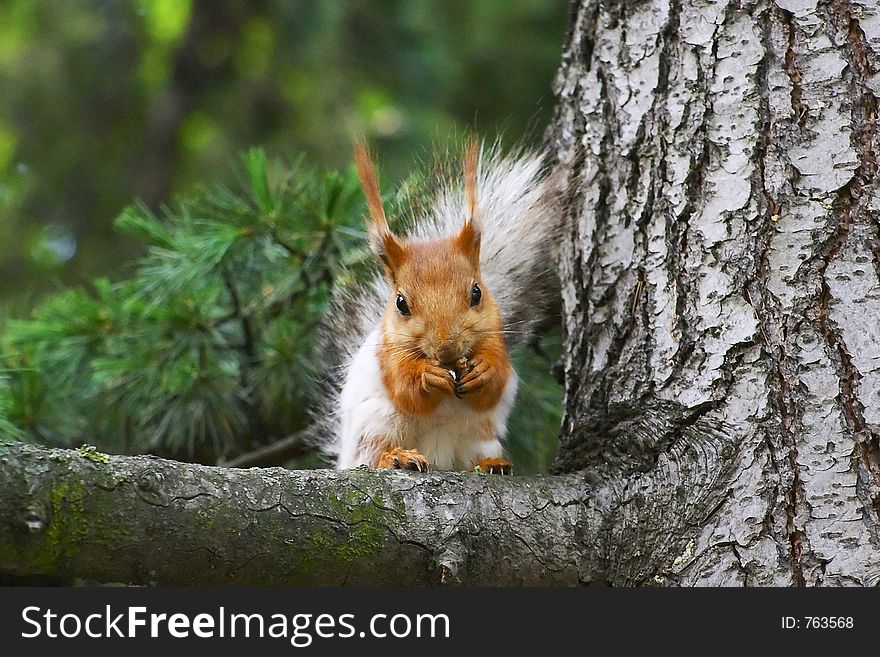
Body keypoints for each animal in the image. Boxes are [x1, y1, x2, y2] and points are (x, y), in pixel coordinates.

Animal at [312, 137, 560, 472]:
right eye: (401, 304)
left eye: (477, 293)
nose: (447, 349)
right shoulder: (388, 354)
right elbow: (406, 389)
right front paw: (427, 377)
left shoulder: (495, 338)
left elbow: (496, 383)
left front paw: (484, 370)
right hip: (375, 426)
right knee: (373, 454)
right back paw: (398, 457)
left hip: (480, 436)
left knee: (474, 456)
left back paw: (491, 464)